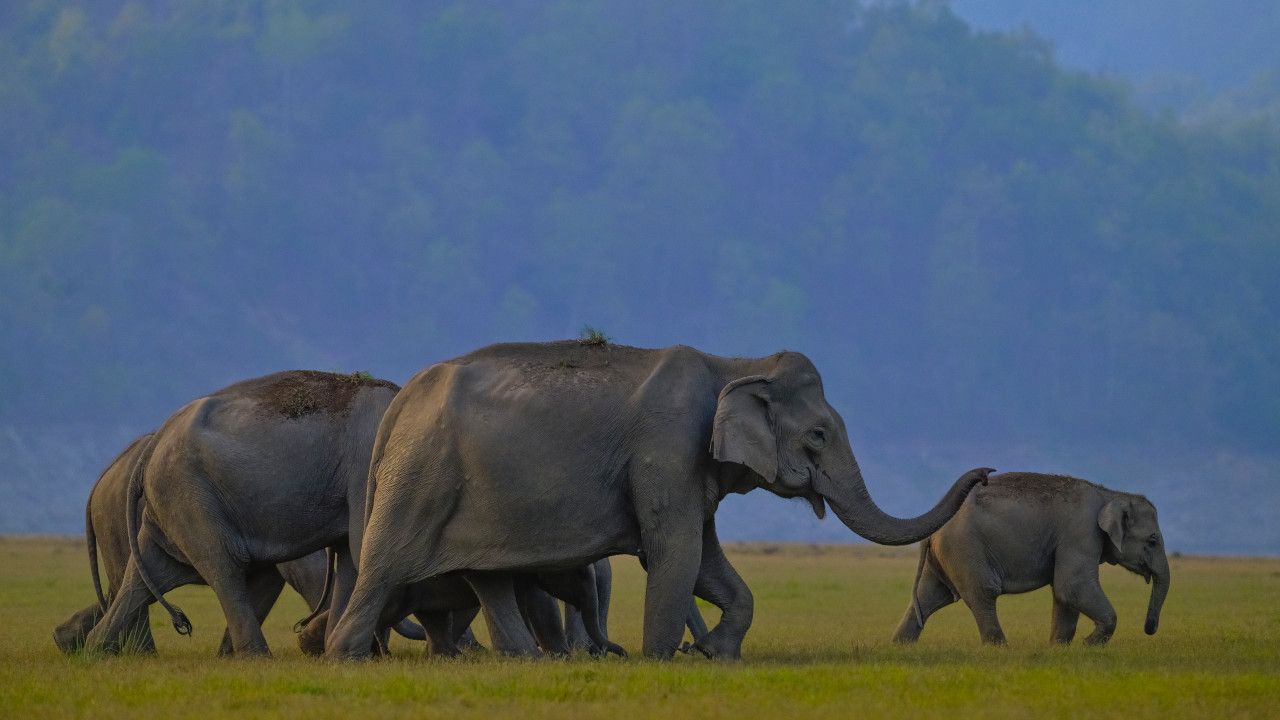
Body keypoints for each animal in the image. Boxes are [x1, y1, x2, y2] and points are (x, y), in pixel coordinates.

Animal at [53, 432, 332, 654]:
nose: (301, 627)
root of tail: (100, 480)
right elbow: (303, 569)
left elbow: (268, 583)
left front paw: (226, 656)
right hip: (118, 520)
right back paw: (141, 655)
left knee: (126, 586)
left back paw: (67, 642)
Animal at [325, 340, 992, 659]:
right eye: (819, 435)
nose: (986, 473)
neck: (735, 362)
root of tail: (399, 402)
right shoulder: (668, 447)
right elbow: (673, 552)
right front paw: (662, 657)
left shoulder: (692, 466)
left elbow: (708, 560)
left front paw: (716, 652)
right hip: (421, 477)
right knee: (387, 563)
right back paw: (344, 657)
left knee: (485, 575)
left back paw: (525, 660)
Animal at [891, 472, 1170, 646]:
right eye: (1153, 540)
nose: (1149, 629)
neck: (1110, 494)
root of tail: (933, 529)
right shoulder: (1080, 533)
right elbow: (1072, 585)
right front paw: (1087, 645)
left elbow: (1064, 593)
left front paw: (1059, 648)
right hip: (965, 549)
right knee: (983, 593)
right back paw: (999, 648)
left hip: (945, 556)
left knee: (929, 597)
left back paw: (900, 645)